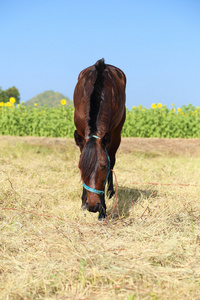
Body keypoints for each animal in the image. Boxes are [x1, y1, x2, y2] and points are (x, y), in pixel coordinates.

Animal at [73, 58, 126, 219]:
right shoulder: (81, 133)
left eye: (104, 167)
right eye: (80, 167)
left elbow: (110, 162)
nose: (92, 205)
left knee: (113, 158)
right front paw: (83, 201)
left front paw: (103, 211)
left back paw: (111, 192)